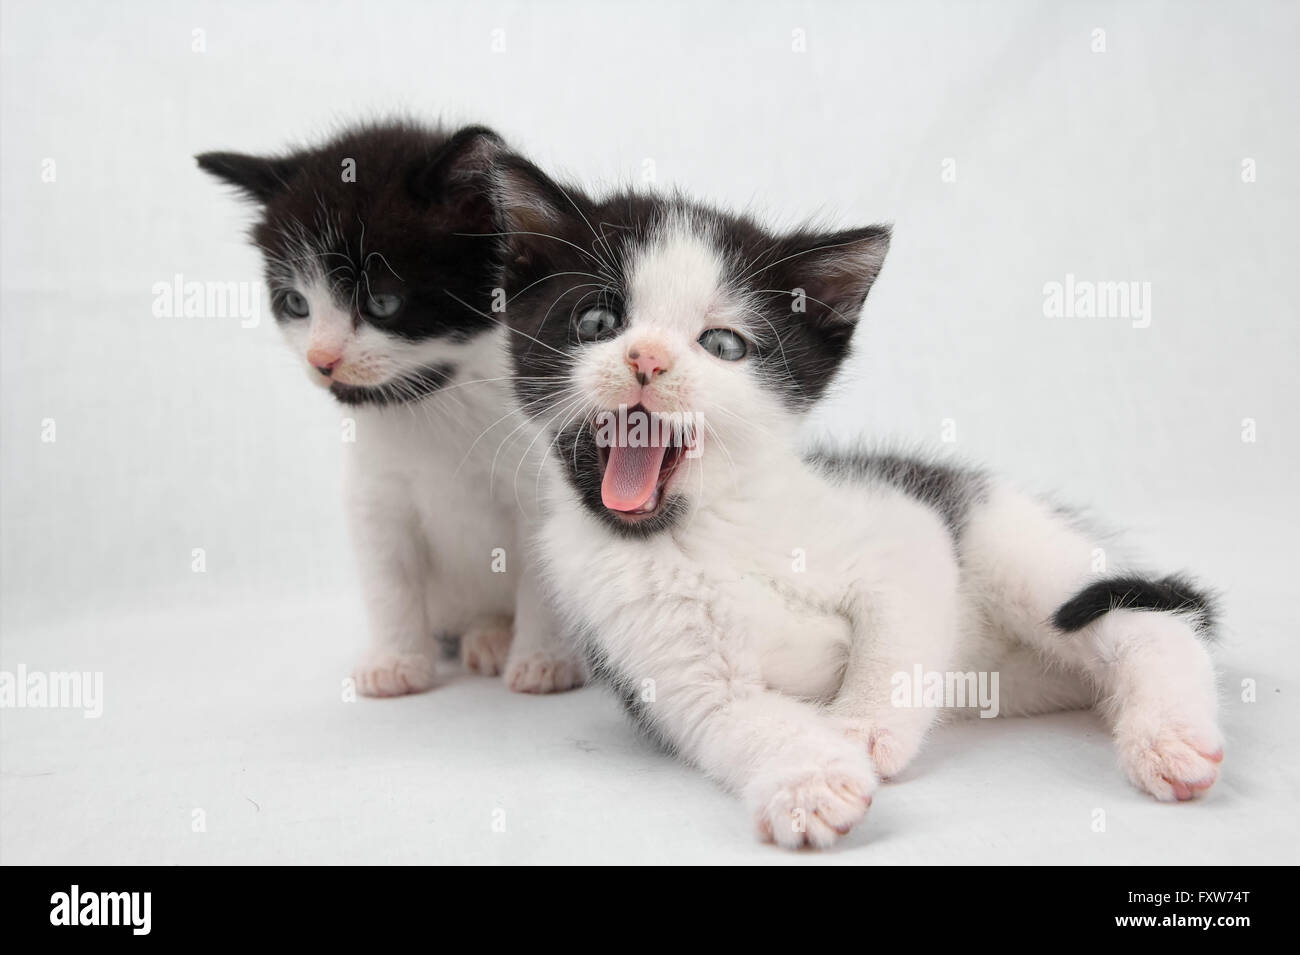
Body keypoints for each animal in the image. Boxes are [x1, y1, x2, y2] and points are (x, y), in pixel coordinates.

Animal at [197, 123, 585, 696]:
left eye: (381, 303)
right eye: (296, 304)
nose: (322, 360)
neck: (438, 399)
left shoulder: (542, 482)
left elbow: (544, 575)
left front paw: (544, 661)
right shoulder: (374, 494)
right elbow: (388, 579)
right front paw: (395, 662)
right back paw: (487, 636)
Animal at [488, 157, 1227, 852]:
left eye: (723, 344)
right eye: (597, 320)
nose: (645, 359)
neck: (705, 527)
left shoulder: (901, 523)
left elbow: (896, 626)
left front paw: (862, 728)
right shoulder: (665, 665)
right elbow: (738, 718)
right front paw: (812, 783)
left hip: (1018, 549)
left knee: (1147, 622)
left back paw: (1167, 736)